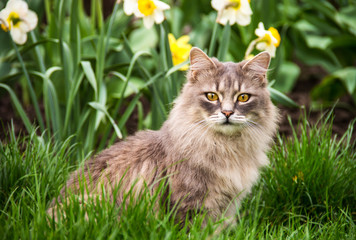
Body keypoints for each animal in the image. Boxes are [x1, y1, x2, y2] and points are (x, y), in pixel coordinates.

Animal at [52, 47, 278, 225]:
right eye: (212, 96)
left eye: (243, 97)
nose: (228, 113)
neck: (225, 147)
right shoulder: (189, 202)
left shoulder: (228, 205)